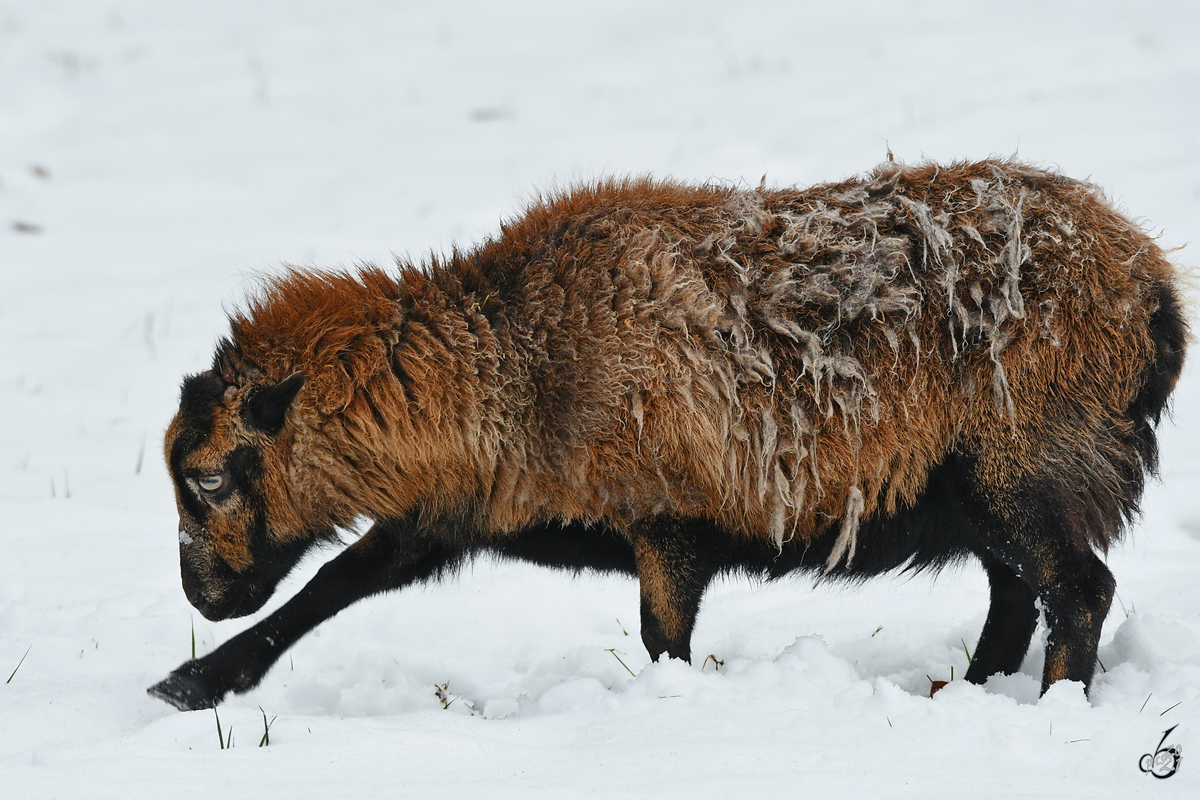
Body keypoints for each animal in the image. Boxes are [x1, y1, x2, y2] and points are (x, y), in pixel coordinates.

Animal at [145, 159, 1185, 710]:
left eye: (208, 479)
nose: (201, 598)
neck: (516, 367)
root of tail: (1152, 292)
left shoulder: (668, 521)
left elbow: (662, 642)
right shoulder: (454, 512)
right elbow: (340, 579)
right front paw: (192, 685)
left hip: (1023, 461)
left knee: (1077, 590)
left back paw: (1052, 709)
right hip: (986, 489)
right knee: (1018, 595)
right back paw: (964, 695)